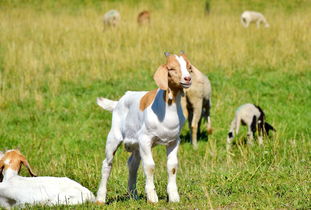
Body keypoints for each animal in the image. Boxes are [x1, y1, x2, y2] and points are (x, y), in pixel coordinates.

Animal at [95, 51, 193, 203]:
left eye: (189, 67)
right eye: (171, 68)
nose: (187, 79)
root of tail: (119, 102)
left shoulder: (174, 141)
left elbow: (172, 166)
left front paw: (174, 197)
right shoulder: (145, 139)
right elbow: (150, 166)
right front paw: (152, 198)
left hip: (136, 144)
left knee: (132, 164)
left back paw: (133, 195)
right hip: (114, 136)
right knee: (107, 163)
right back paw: (100, 199)